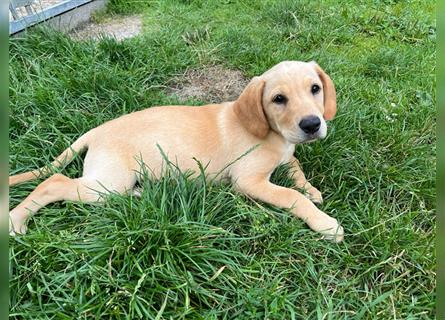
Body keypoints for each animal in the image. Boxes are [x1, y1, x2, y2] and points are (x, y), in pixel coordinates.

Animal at [7, 60, 344, 241]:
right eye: (278, 99)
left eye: (315, 89)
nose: (312, 124)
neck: (272, 133)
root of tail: (97, 130)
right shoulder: (249, 181)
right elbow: (291, 197)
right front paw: (325, 223)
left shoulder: (287, 156)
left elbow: (295, 166)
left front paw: (310, 188)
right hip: (107, 183)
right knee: (54, 183)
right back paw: (15, 221)